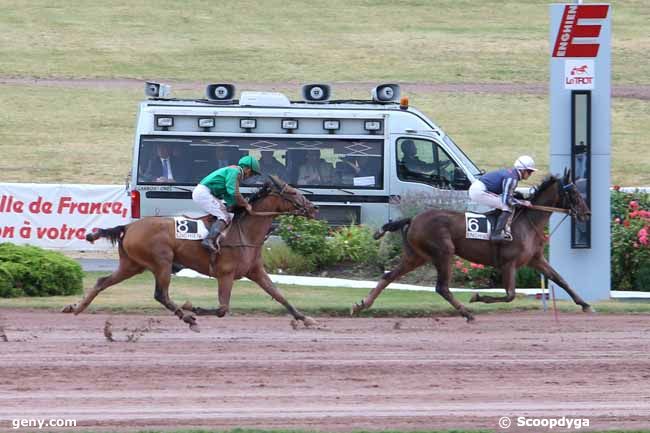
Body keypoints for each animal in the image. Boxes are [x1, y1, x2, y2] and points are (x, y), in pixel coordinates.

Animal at [59, 176, 318, 330]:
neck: (244, 232)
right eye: (294, 192)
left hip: (131, 265)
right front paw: (193, 308)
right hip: (162, 262)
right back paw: (187, 317)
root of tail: (129, 227)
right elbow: (222, 309)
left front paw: (305, 318)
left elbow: (280, 295)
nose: (314, 208)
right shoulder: (225, 274)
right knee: (160, 294)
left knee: (102, 281)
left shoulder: (256, 272)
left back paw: (76, 307)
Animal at [352, 170, 588, 320]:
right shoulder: (508, 263)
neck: (527, 222)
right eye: (574, 193)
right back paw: (467, 312)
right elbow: (510, 295)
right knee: (442, 287)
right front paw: (476, 296)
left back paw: (361, 305)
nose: (587, 214)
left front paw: (584, 304)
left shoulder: (535, 259)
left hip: (416, 256)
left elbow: (560, 279)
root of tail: (413, 219)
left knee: (387, 276)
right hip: (444, 252)